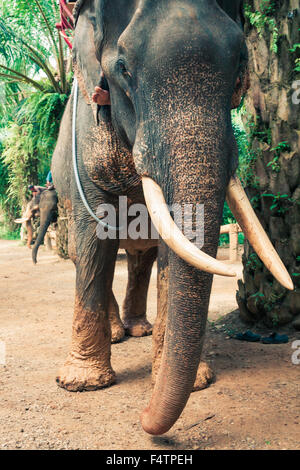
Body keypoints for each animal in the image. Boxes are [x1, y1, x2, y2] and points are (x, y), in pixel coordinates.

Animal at [51, 0, 292, 436]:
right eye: (124, 69)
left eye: (240, 65)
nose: (142, 417)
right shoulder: (88, 140)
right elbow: (95, 239)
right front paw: (81, 383)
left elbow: (173, 247)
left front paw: (196, 381)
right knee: (87, 255)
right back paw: (118, 335)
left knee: (141, 258)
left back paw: (138, 329)